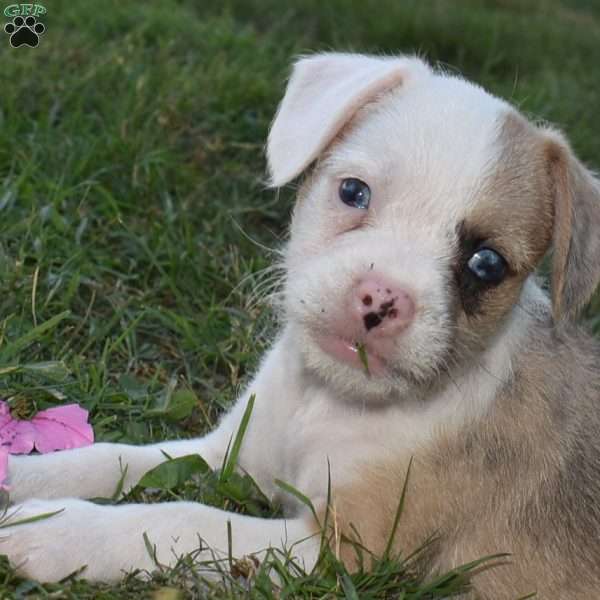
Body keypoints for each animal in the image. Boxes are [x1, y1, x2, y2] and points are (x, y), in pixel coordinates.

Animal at [3, 54, 600, 596]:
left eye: (486, 264)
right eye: (353, 191)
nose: (380, 298)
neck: (325, 400)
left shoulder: (339, 553)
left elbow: (182, 518)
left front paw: (61, 531)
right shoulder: (225, 454)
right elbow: (113, 457)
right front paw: (24, 478)